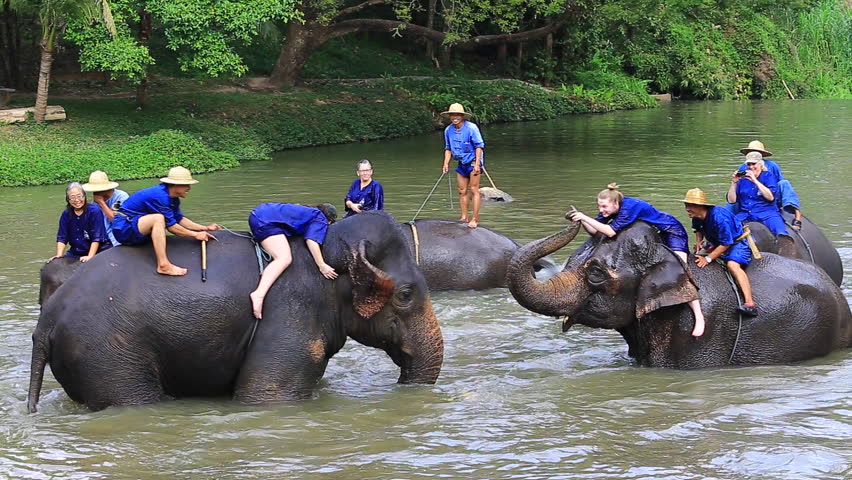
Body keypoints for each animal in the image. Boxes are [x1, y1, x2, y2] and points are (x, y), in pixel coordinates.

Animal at [27, 213, 446, 412]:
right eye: (405, 294)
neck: (326, 246)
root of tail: (44, 326)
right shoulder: (290, 314)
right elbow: (268, 396)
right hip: (108, 355)